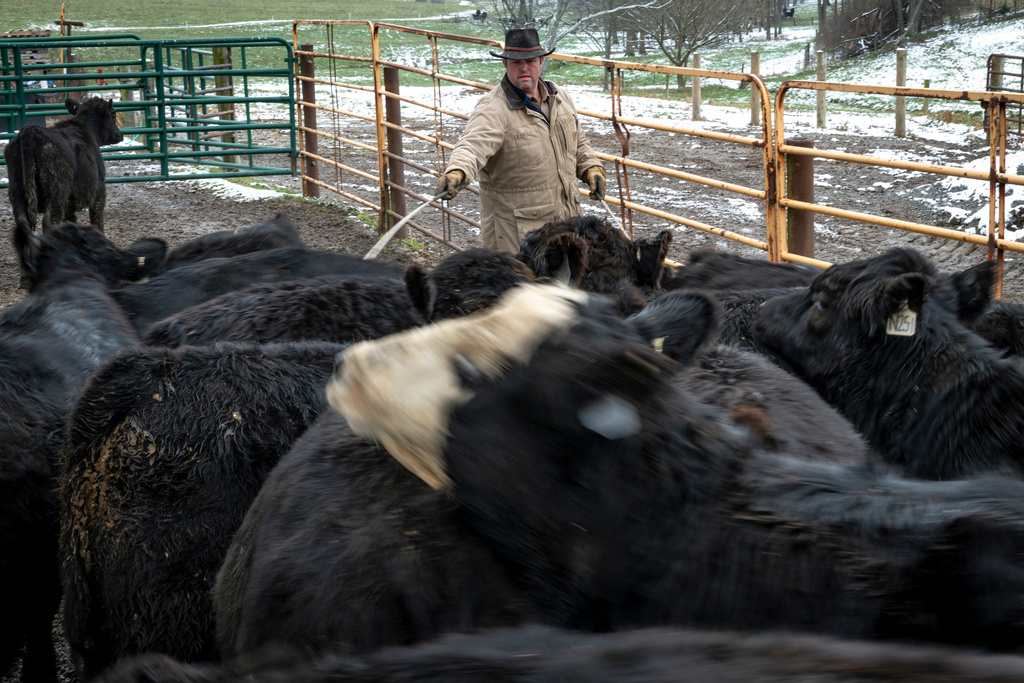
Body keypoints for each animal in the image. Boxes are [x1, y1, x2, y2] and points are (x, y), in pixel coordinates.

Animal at [4, 97, 123, 234]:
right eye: (113, 115)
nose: (120, 135)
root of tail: (31, 131)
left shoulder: (69, 205)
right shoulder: (99, 190)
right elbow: (97, 221)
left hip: (17, 190)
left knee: (22, 221)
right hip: (57, 191)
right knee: (50, 221)